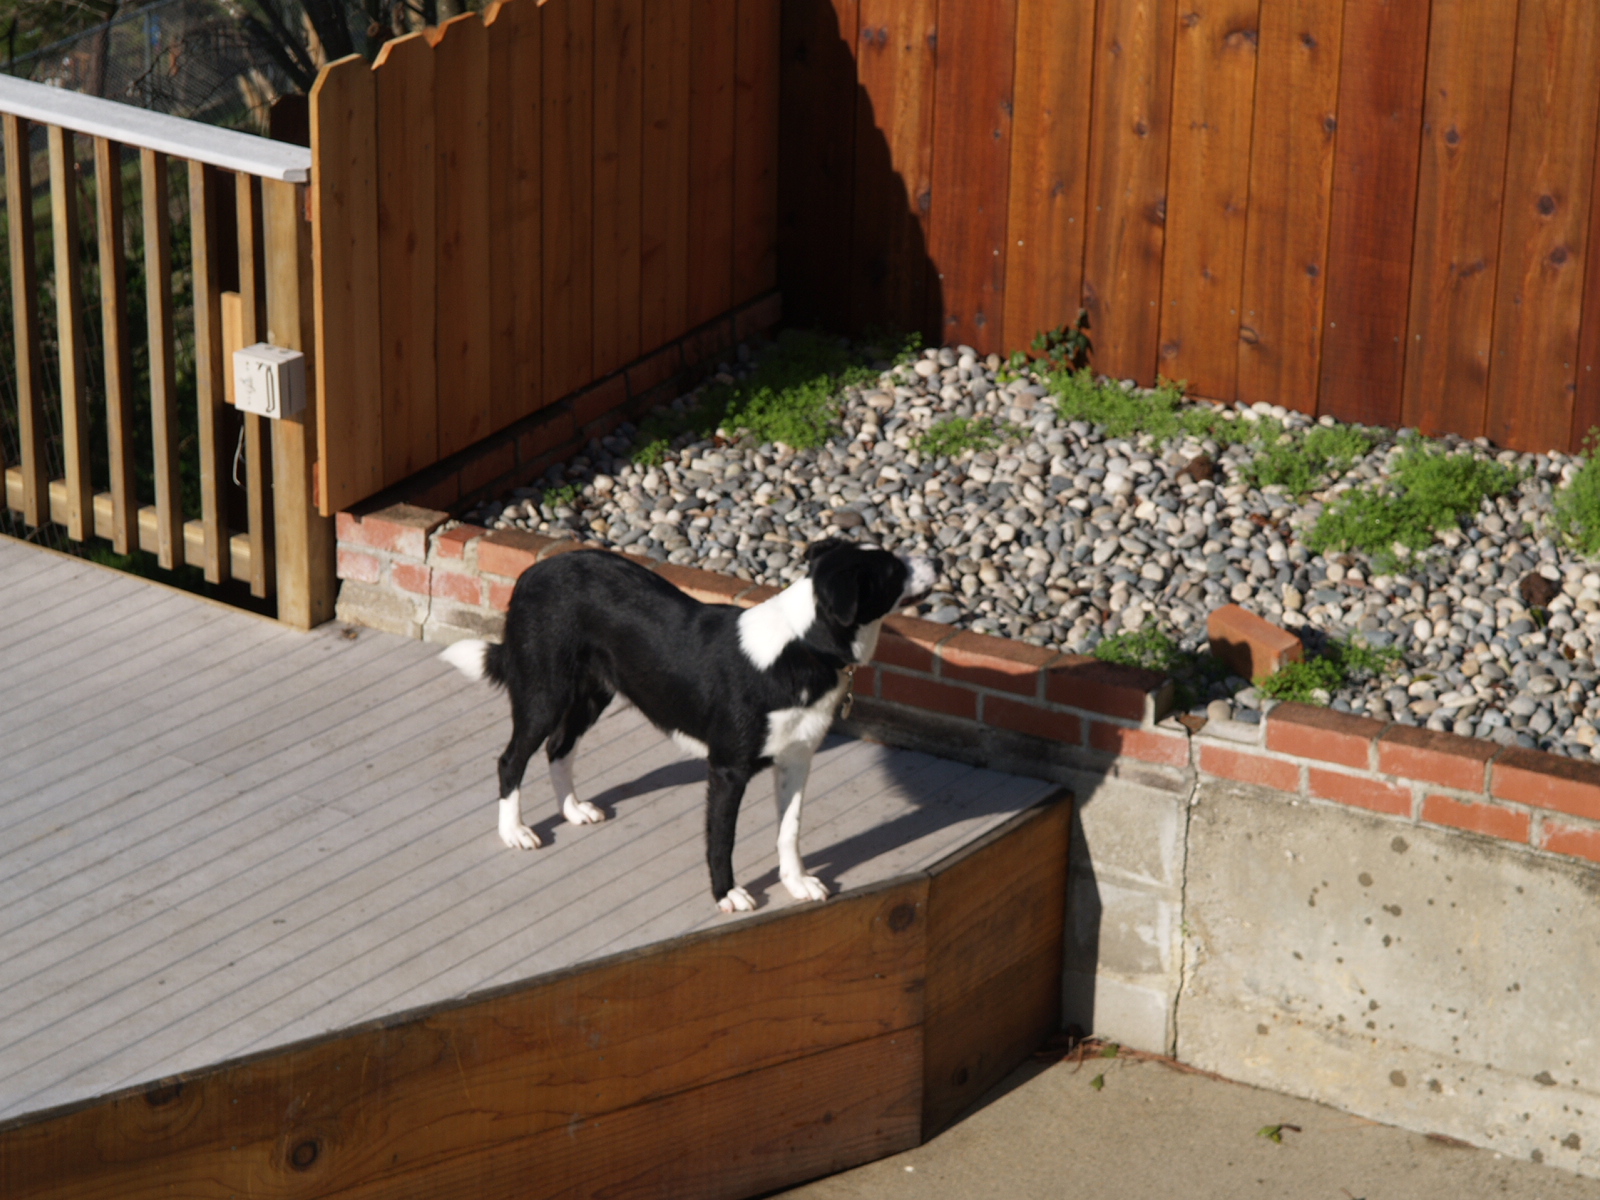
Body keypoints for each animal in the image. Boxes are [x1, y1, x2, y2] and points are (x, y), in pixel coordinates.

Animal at [440, 539, 936, 913]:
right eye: (893, 570)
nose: (937, 560)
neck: (804, 644)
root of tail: (532, 572)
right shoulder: (727, 770)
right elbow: (722, 839)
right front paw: (727, 894)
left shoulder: (796, 759)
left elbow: (790, 830)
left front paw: (797, 883)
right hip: (544, 692)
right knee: (512, 758)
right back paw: (514, 832)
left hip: (593, 692)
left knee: (558, 746)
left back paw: (573, 809)